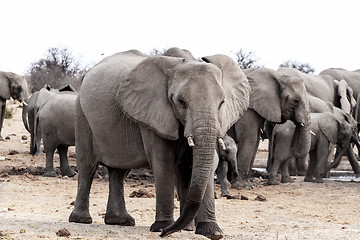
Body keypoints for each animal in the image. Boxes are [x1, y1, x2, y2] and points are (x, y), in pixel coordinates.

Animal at [67, 47, 250, 239]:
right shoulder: (153, 113)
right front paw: (162, 226)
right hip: (81, 114)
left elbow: (203, 163)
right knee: (87, 166)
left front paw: (211, 232)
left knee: (119, 171)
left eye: (222, 102)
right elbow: (163, 161)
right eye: (180, 102)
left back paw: (121, 221)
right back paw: (82, 219)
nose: (164, 233)